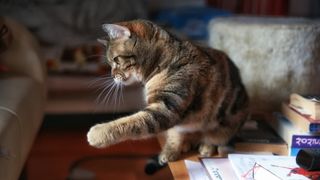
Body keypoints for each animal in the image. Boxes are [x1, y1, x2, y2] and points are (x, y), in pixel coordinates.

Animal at [87, 19, 250, 164]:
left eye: (115, 60)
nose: (112, 76)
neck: (165, 61)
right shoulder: (174, 115)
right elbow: (174, 134)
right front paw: (170, 151)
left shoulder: (167, 107)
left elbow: (132, 122)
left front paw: (98, 133)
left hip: (224, 126)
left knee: (215, 137)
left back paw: (207, 146)